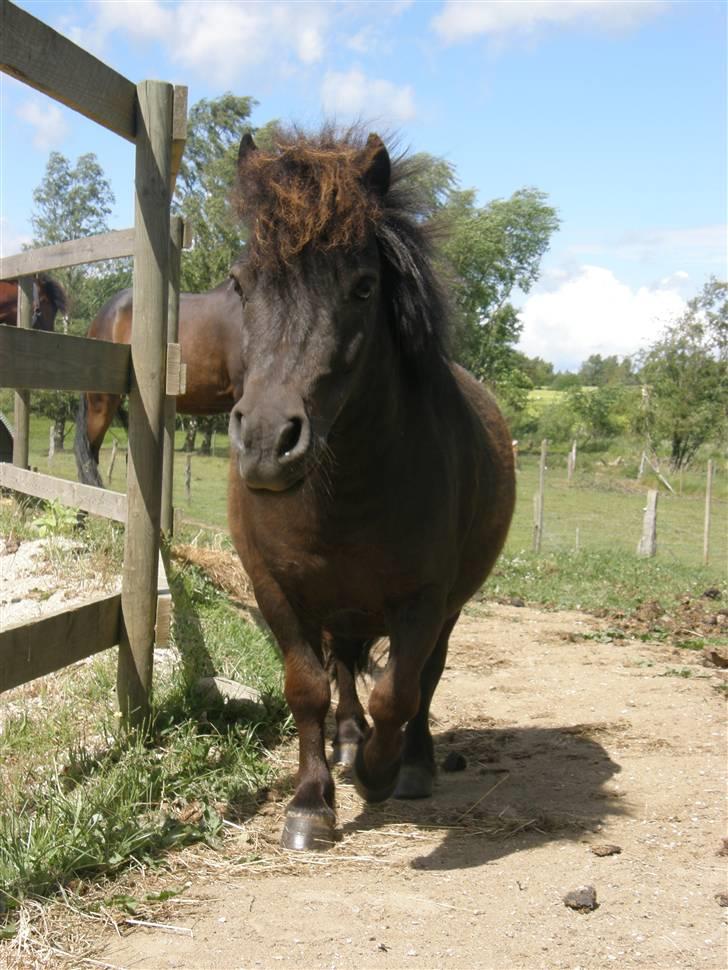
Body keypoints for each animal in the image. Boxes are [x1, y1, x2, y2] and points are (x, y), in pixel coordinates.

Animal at [228, 126, 516, 848]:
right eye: (240, 284)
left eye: (362, 287)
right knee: (343, 673)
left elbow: (401, 690)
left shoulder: (425, 598)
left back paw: (410, 763)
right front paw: (311, 802)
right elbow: (307, 689)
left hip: (447, 607)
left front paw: (380, 775)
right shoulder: (277, 591)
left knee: (425, 680)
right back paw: (348, 741)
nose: (267, 443)